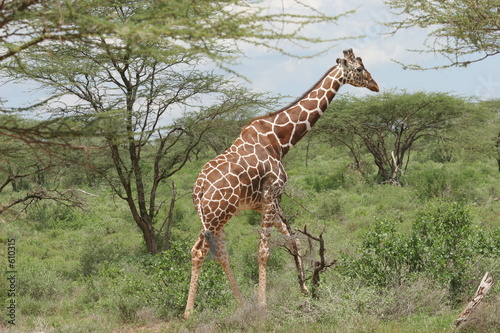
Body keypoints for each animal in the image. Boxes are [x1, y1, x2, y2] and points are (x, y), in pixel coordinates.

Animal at [184, 48, 378, 318]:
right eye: (359, 69)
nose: (375, 85)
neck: (279, 140)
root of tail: (198, 189)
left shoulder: (263, 203)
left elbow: (293, 239)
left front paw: (305, 290)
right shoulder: (271, 194)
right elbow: (264, 250)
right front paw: (263, 304)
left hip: (216, 216)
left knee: (219, 253)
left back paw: (241, 303)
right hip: (217, 214)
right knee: (200, 251)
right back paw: (189, 313)